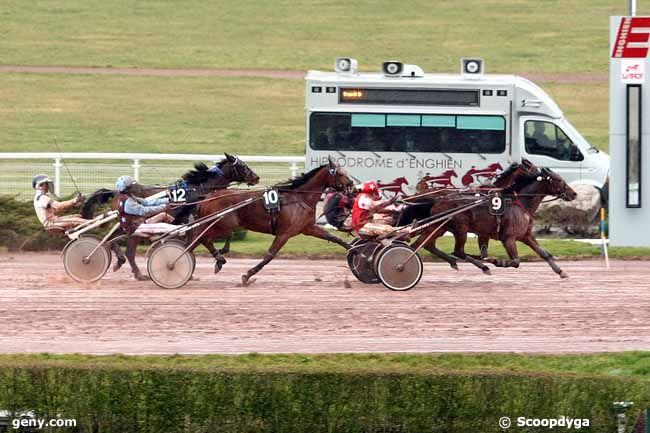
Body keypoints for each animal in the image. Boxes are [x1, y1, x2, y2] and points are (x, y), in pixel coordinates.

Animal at [82, 154, 260, 278]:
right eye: (243, 166)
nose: (256, 177)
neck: (199, 190)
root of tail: (117, 192)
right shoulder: (194, 220)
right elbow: (203, 240)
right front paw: (219, 258)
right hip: (135, 225)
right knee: (125, 247)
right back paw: (133, 270)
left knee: (112, 238)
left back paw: (119, 260)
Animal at [192, 158, 354, 284]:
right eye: (340, 173)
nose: (352, 185)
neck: (300, 198)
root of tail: (208, 197)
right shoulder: (284, 233)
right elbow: (269, 255)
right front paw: (248, 275)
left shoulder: (307, 228)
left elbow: (334, 238)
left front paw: (355, 250)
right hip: (222, 226)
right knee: (204, 239)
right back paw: (218, 259)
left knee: (198, 240)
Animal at [412, 167, 576, 278]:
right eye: (559, 180)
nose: (574, 193)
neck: (519, 203)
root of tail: (438, 200)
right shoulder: (508, 238)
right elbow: (515, 261)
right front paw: (498, 261)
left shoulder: (526, 236)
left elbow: (544, 253)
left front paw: (561, 271)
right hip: (461, 229)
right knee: (458, 251)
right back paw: (483, 265)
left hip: (438, 227)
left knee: (422, 245)